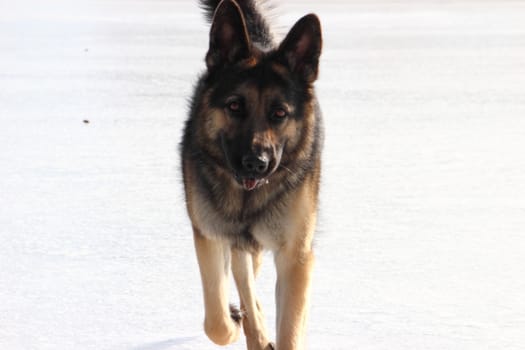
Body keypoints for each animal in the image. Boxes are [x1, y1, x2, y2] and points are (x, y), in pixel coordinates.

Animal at [180, 1, 322, 348]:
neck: (249, 195)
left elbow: (290, 331)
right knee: (244, 282)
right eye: (234, 106)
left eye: (280, 113)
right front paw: (235, 320)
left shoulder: (296, 257)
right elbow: (216, 322)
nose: (256, 163)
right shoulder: (211, 236)